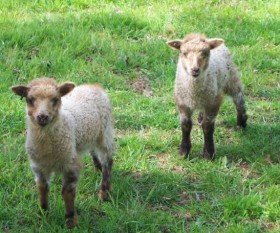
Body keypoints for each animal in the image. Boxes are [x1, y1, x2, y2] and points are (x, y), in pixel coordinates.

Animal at [10, 78, 114, 228]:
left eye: (55, 99)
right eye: (30, 99)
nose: (42, 116)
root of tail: (94, 85)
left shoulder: (70, 164)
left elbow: (67, 193)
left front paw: (70, 220)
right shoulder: (39, 167)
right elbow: (42, 190)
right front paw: (43, 216)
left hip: (105, 132)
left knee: (108, 160)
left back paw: (104, 191)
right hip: (88, 136)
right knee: (94, 151)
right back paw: (99, 170)